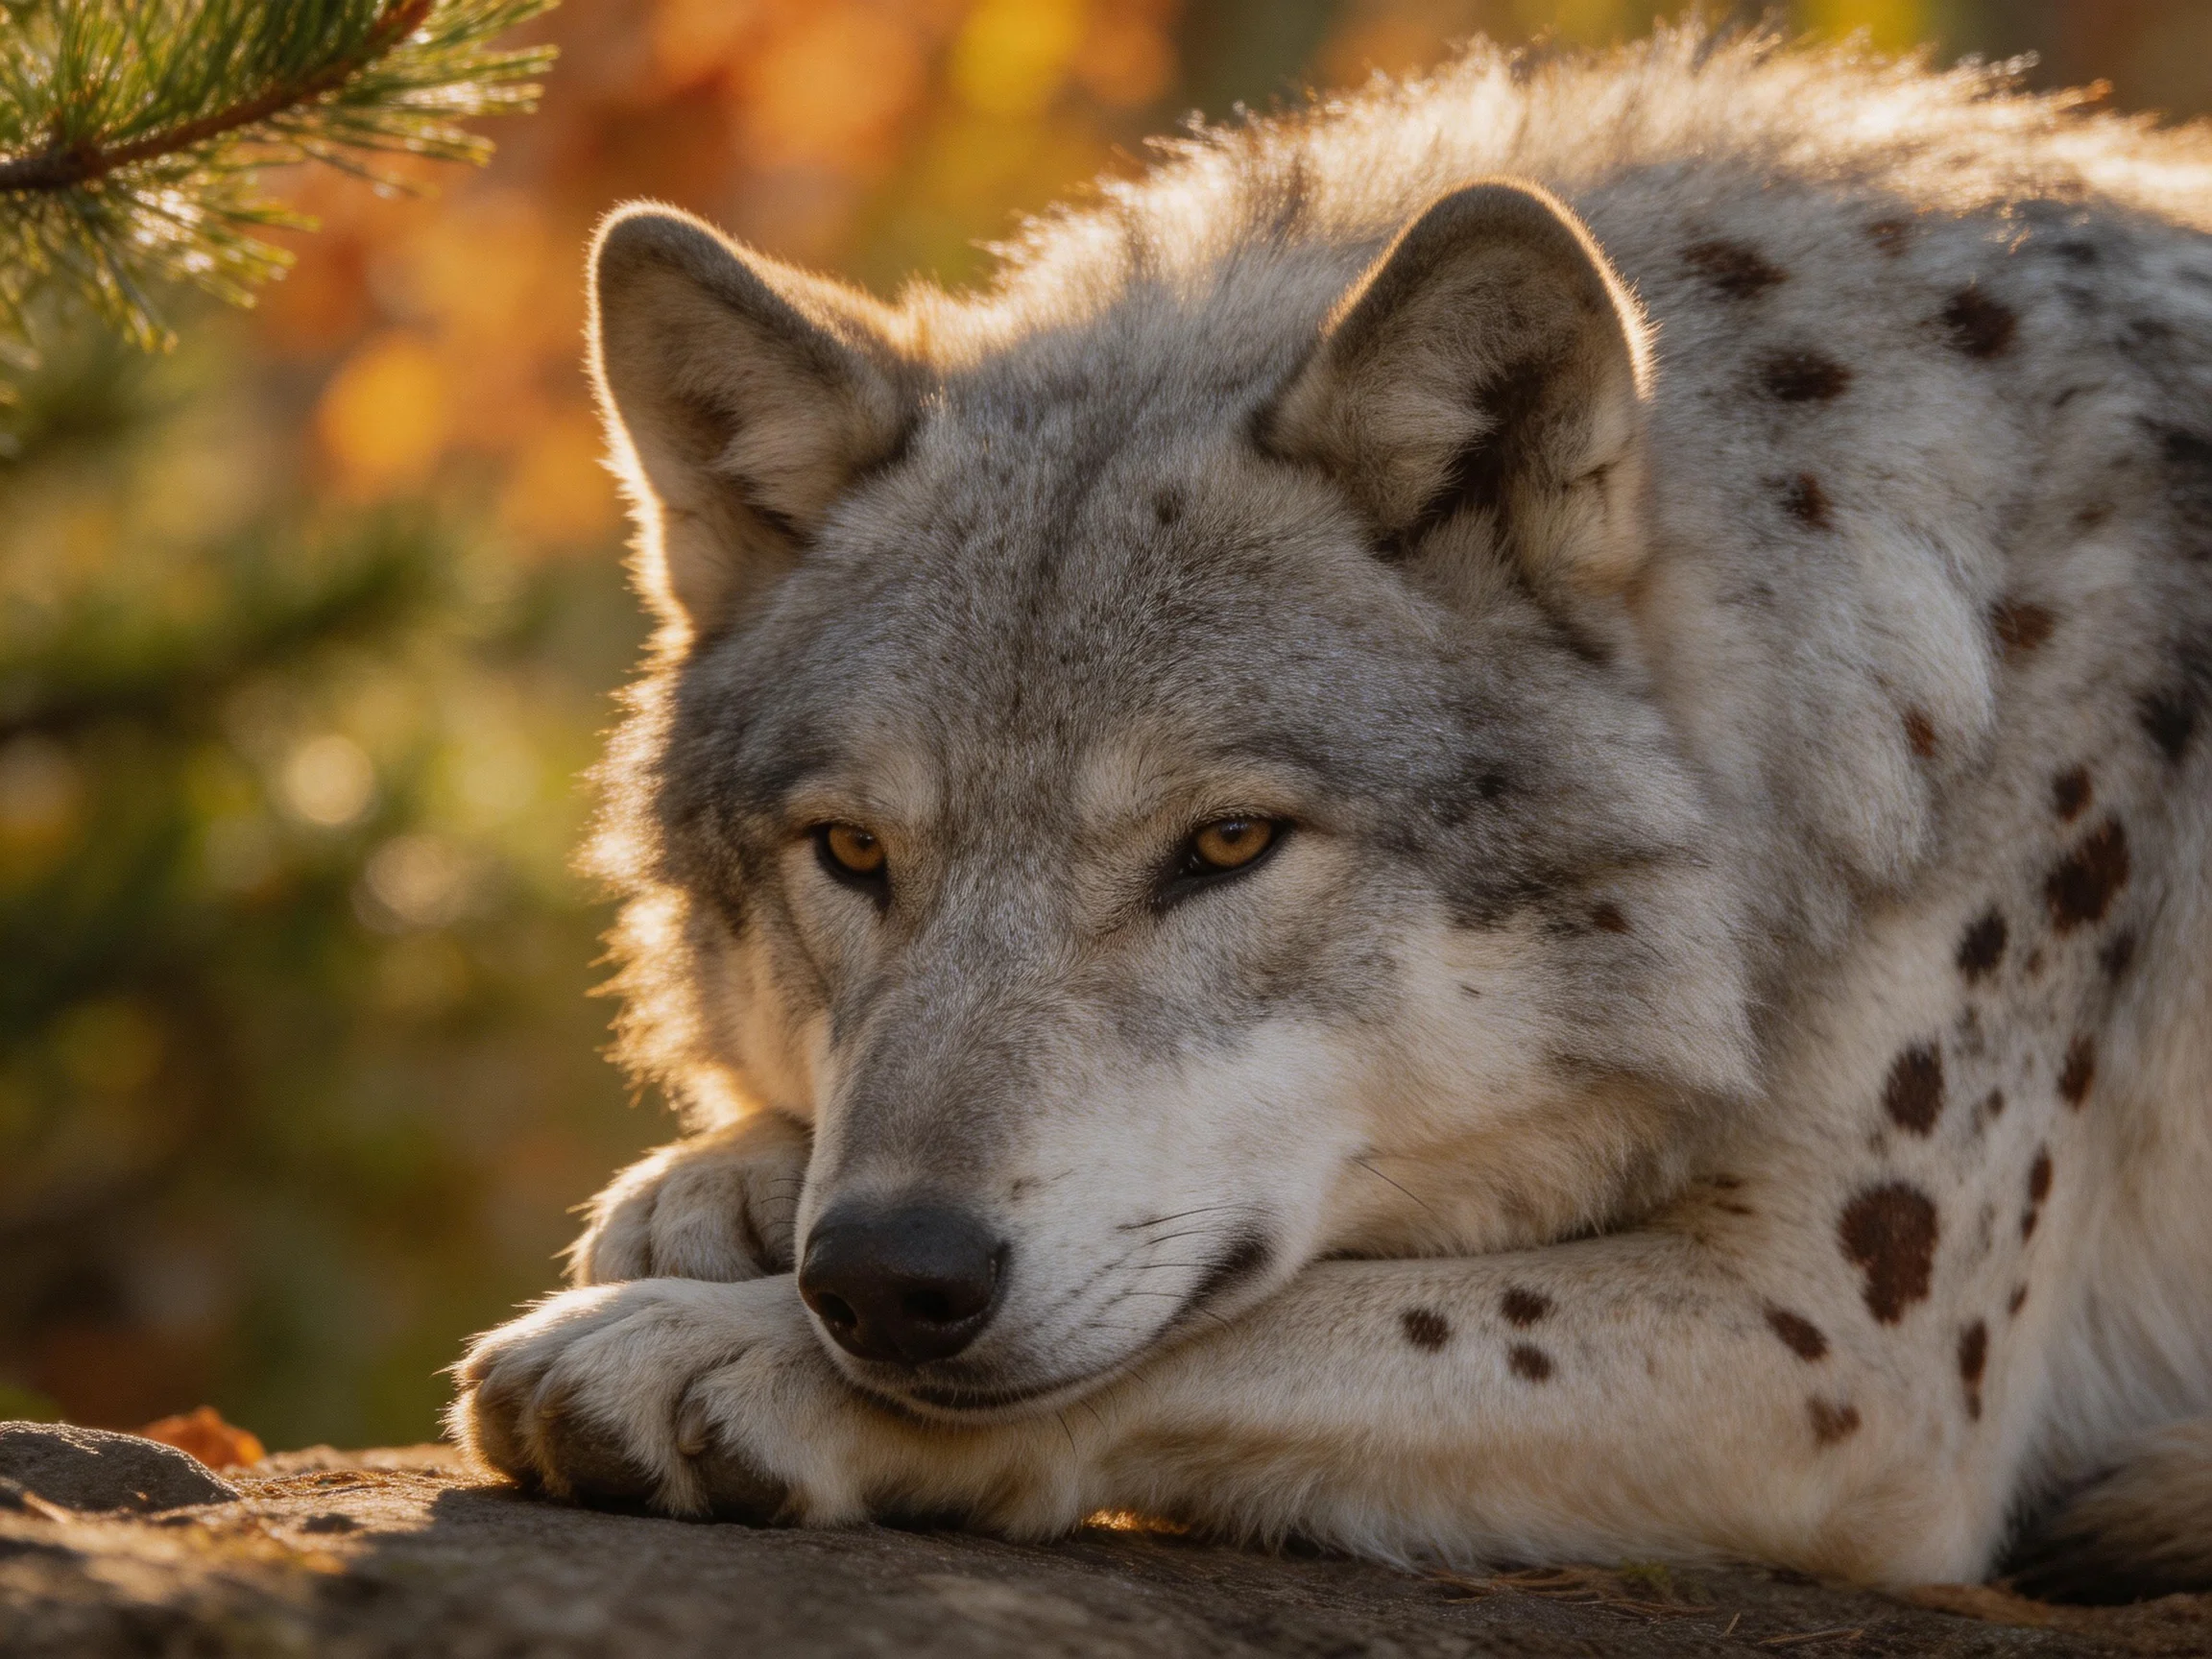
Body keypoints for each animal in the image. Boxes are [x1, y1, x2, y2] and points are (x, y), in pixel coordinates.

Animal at [450, 24, 2212, 1596]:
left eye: (1227, 845)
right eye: (854, 853)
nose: (887, 1276)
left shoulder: (1848, 1352)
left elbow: (1257, 1318)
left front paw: (709, 1352)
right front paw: (711, 1184)